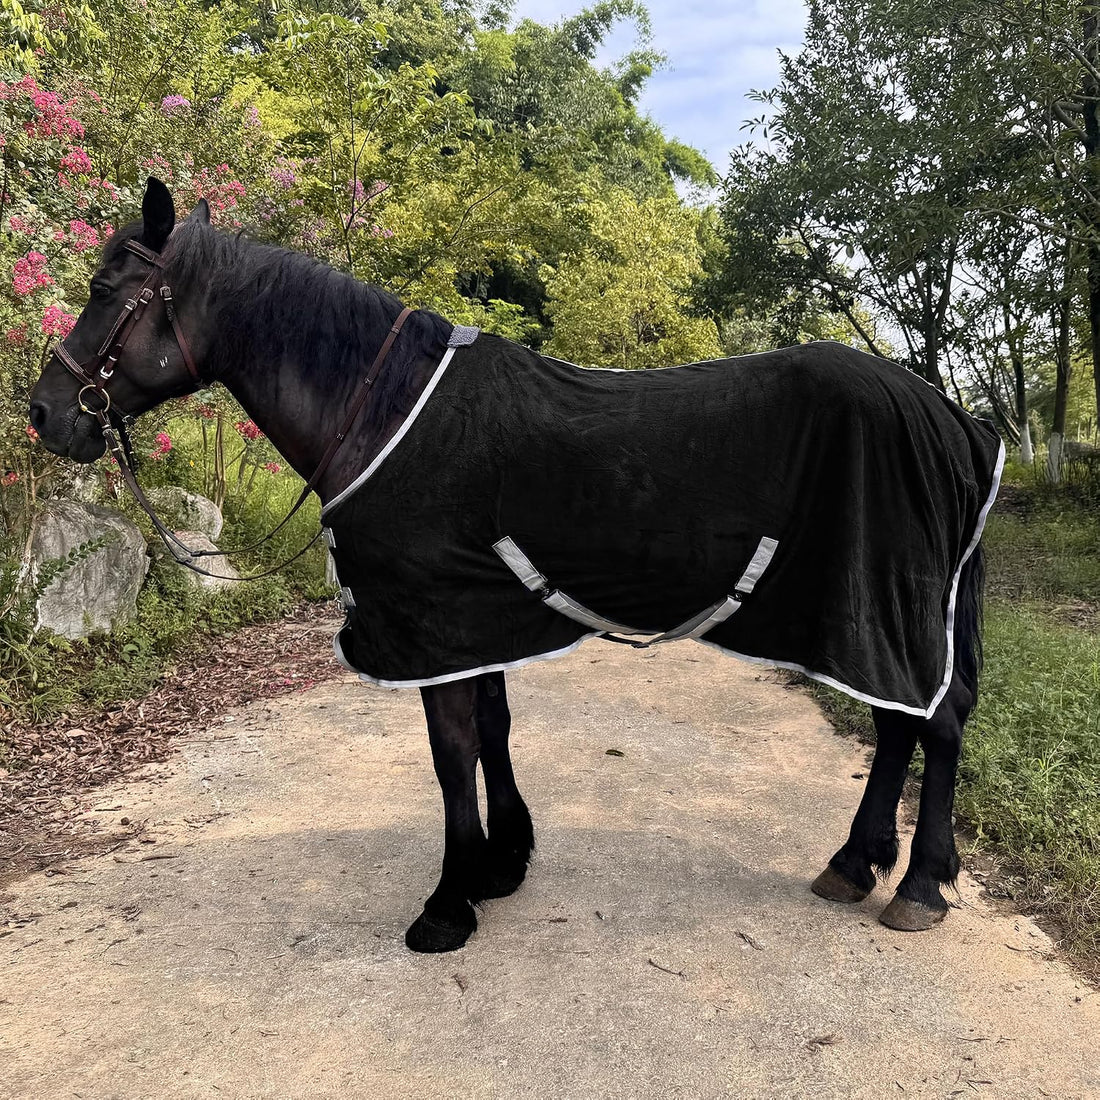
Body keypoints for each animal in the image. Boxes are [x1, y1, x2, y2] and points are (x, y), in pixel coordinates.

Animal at [29, 178, 1003, 953]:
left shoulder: (433, 621)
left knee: (934, 721)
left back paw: (918, 885)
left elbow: (452, 752)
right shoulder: (475, 616)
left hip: (878, 606)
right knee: (906, 725)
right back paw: (860, 863)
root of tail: (954, 418)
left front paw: (448, 902)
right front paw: (503, 864)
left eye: (106, 290)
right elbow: (493, 731)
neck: (382, 410)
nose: (45, 412)